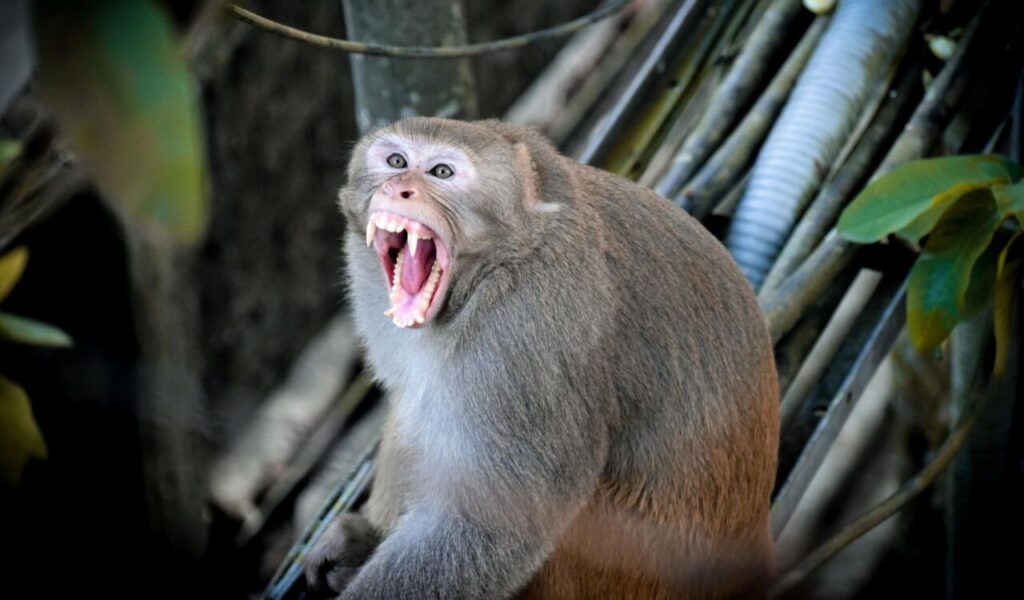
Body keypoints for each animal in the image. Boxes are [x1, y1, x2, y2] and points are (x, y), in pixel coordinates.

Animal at [305, 117, 779, 599]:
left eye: (441, 172)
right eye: (397, 161)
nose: (399, 187)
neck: (504, 259)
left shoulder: (523, 338)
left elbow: (487, 524)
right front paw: (357, 540)